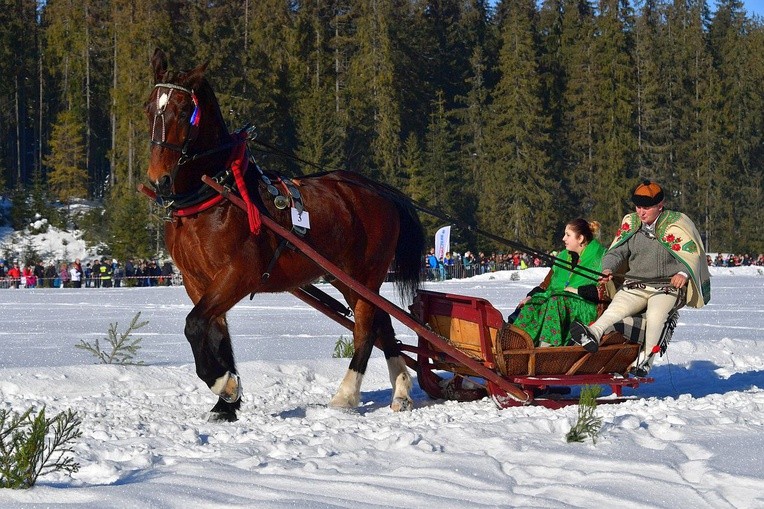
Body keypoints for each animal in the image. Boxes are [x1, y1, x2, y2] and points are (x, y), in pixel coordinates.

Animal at [145, 48, 424, 420]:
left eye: (183, 111)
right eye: (149, 108)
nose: (158, 180)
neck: (213, 196)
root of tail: (378, 190)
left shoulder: (238, 274)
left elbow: (194, 325)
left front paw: (225, 385)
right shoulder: (197, 281)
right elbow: (215, 335)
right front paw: (226, 404)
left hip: (362, 274)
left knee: (366, 329)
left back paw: (345, 396)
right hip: (347, 279)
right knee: (384, 324)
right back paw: (402, 392)